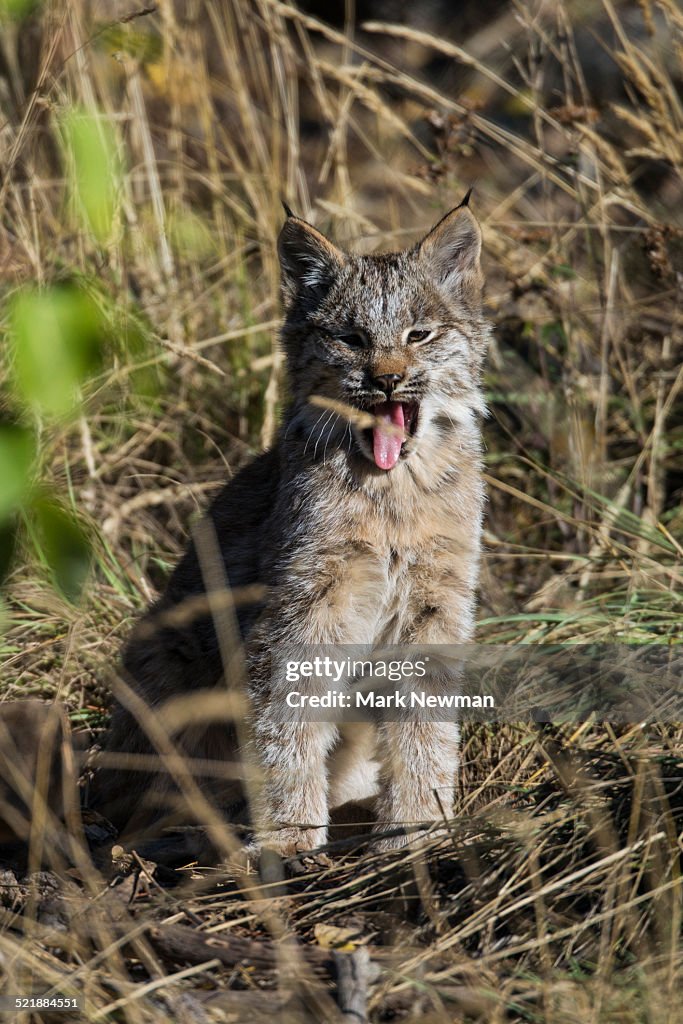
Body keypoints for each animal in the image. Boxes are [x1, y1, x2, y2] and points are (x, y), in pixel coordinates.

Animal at [93, 195, 489, 851]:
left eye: (420, 334)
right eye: (351, 339)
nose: (387, 378)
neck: (392, 490)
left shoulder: (438, 598)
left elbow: (423, 722)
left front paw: (417, 826)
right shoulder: (306, 601)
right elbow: (286, 717)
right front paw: (290, 834)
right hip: (162, 645)